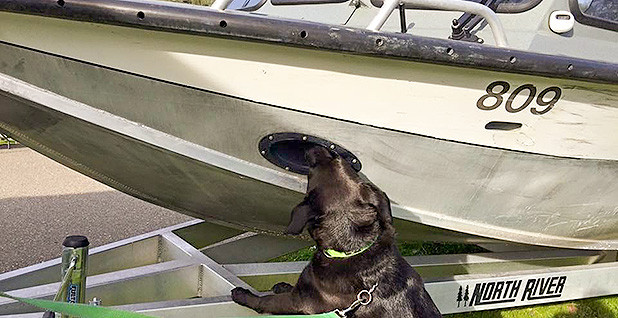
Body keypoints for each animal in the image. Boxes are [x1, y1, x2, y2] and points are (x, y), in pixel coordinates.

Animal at [231, 145, 438, 316]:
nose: (316, 148)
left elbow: (266, 301)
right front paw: (283, 285)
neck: (351, 249)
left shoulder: (299, 301)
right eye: (337, 160)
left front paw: (244, 295)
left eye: (312, 171)